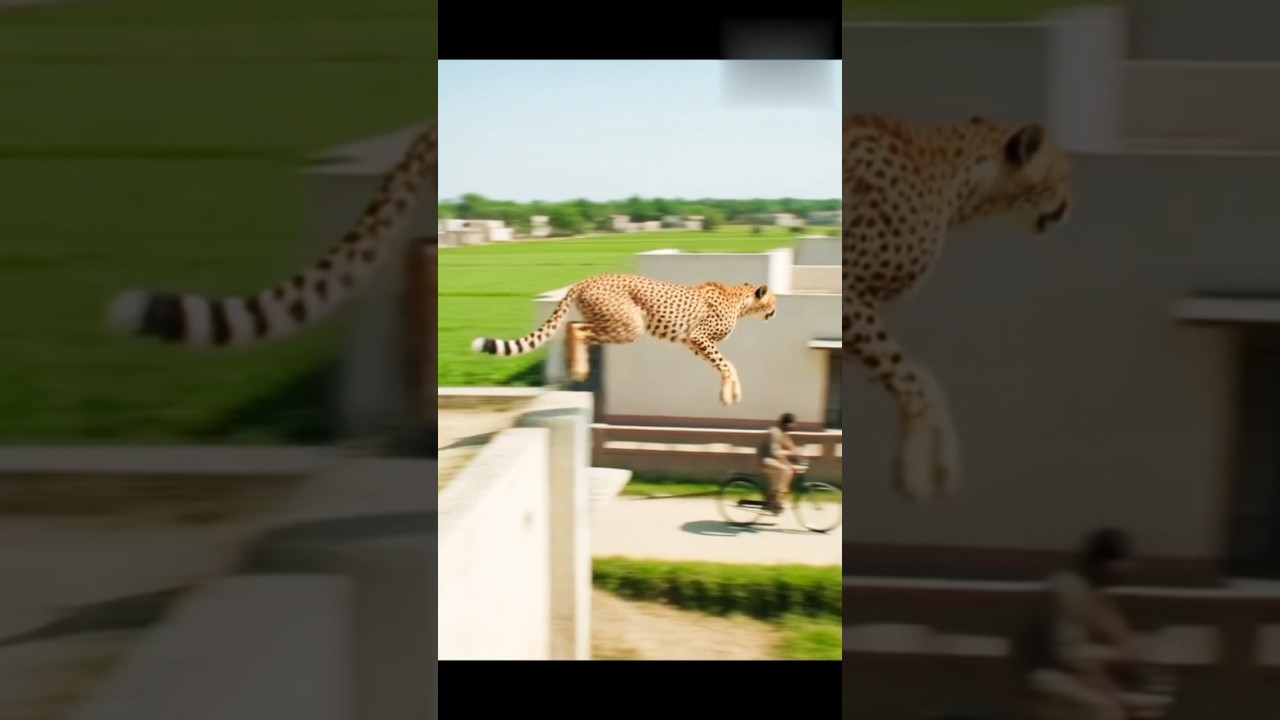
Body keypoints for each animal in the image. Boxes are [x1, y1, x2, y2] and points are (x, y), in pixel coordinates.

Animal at [471, 273, 778, 405]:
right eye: (773, 300)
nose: (775, 311)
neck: (740, 300)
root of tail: (587, 280)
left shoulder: (693, 343)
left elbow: (725, 366)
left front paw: (729, 392)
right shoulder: (699, 337)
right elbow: (727, 365)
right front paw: (730, 393)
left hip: (608, 320)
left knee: (572, 325)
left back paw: (575, 366)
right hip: (629, 326)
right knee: (578, 330)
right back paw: (579, 367)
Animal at [844, 113, 1072, 503]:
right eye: (1063, 175)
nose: (1071, 207)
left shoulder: (858, 317)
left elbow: (921, 376)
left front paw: (939, 461)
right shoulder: (850, 296)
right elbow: (911, 380)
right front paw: (915, 470)